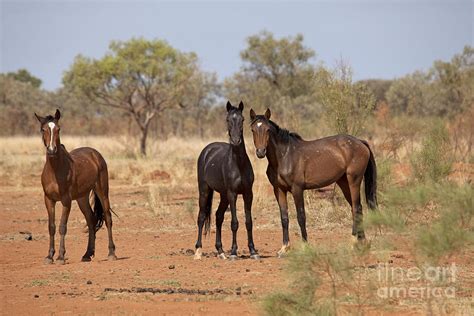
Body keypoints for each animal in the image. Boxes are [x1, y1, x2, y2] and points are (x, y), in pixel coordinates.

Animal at [34, 110, 116, 262]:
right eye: (43, 129)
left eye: (58, 129)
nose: (52, 150)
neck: (55, 170)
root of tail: (95, 154)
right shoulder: (48, 200)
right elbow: (51, 227)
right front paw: (49, 256)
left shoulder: (66, 201)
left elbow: (62, 226)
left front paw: (60, 256)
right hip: (81, 198)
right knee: (91, 220)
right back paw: (87, 254)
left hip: (102, 191)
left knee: (108, 218)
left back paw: (111, 253)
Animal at [193, 100, 260, 260]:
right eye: (228, 120)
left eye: (242, 119)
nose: (235, 141)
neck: (238, 164)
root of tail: (207, 151)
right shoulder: (232, 194)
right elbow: (234, 223)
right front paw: (234, 252)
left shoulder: (248, 194)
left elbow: (248, 222)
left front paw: (253, 251)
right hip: (205, 190)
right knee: (201, 216)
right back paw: (198, 250)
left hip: (223, 195)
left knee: (218, 216)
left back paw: (221, 251)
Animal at [248, 108, 378, 256]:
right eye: (252, 129)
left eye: (268, 129)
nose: (260, 152)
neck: (285, 156)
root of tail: (361, 142)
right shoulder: (279, 190)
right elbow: (284, 218)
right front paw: (284, 248)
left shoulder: (297, 189)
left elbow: (301, 216)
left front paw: (305, 246)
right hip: (344, 182)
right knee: (357, 209)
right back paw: (363, 243)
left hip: (354, 181)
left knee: (356, 208)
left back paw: (353, 243)